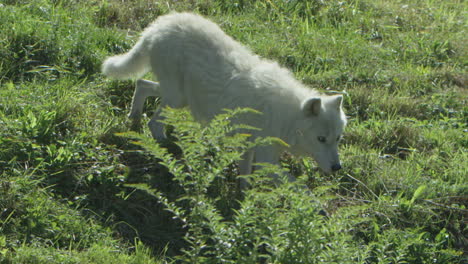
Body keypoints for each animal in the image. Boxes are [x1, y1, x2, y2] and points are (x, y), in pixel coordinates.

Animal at [101, 11, 344, 183]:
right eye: (321, 139)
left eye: (338, 139)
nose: (337, 168)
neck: (288, 115)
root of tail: (158, 25)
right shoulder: (266, 161)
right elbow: (300, 188)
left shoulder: (249, 149)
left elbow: (244, 179)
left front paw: (242, 204)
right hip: (177, 99)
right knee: (153, 121)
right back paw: (167, 150)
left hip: (178, 96)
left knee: (142, 84)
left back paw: (134, 119)